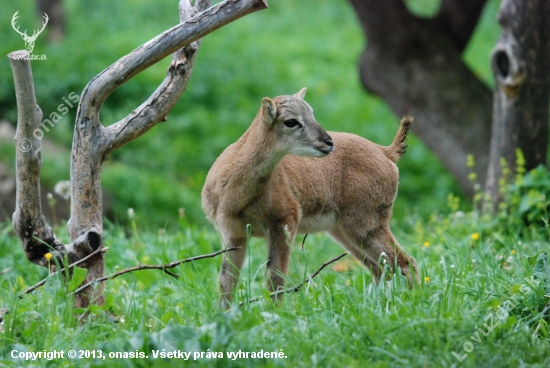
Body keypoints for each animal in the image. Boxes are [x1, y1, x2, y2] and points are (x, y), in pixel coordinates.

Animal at [204, 87, 422, 306]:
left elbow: (275, 278)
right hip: (343, 230)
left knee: (405, 262)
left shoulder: (284, 221)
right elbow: (226, 281)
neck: (234, 197)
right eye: (291, 121)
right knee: (381, 268)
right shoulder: (232, 234)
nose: (328, 142)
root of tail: (385, 152)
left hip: (366, 224)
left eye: (312, 114)